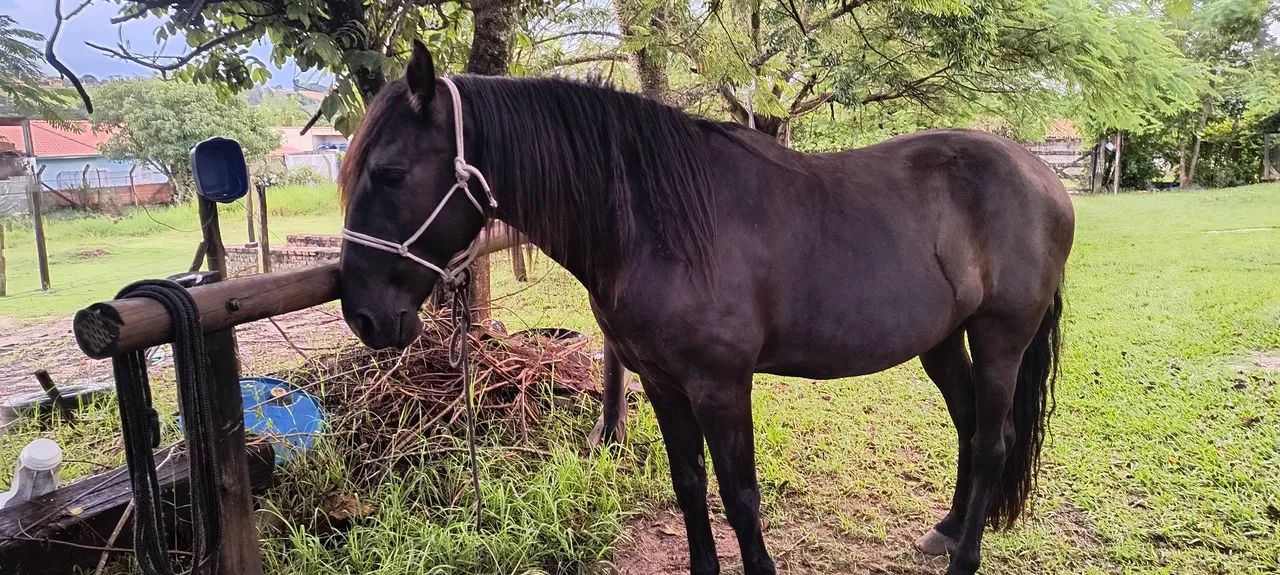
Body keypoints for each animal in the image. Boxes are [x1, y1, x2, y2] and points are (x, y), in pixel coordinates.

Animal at [337, 42, 1073, 575]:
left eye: (390, 174)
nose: (364, 314)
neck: (653, 224)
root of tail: (1042, 175)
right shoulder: (663, 382)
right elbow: (690, 483)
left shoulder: (721, 385)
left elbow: (741, 496)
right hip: (942, 340)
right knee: (969, 425)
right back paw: (945, 532)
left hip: (1001, 338)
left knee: (992, 442)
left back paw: (964, 558)